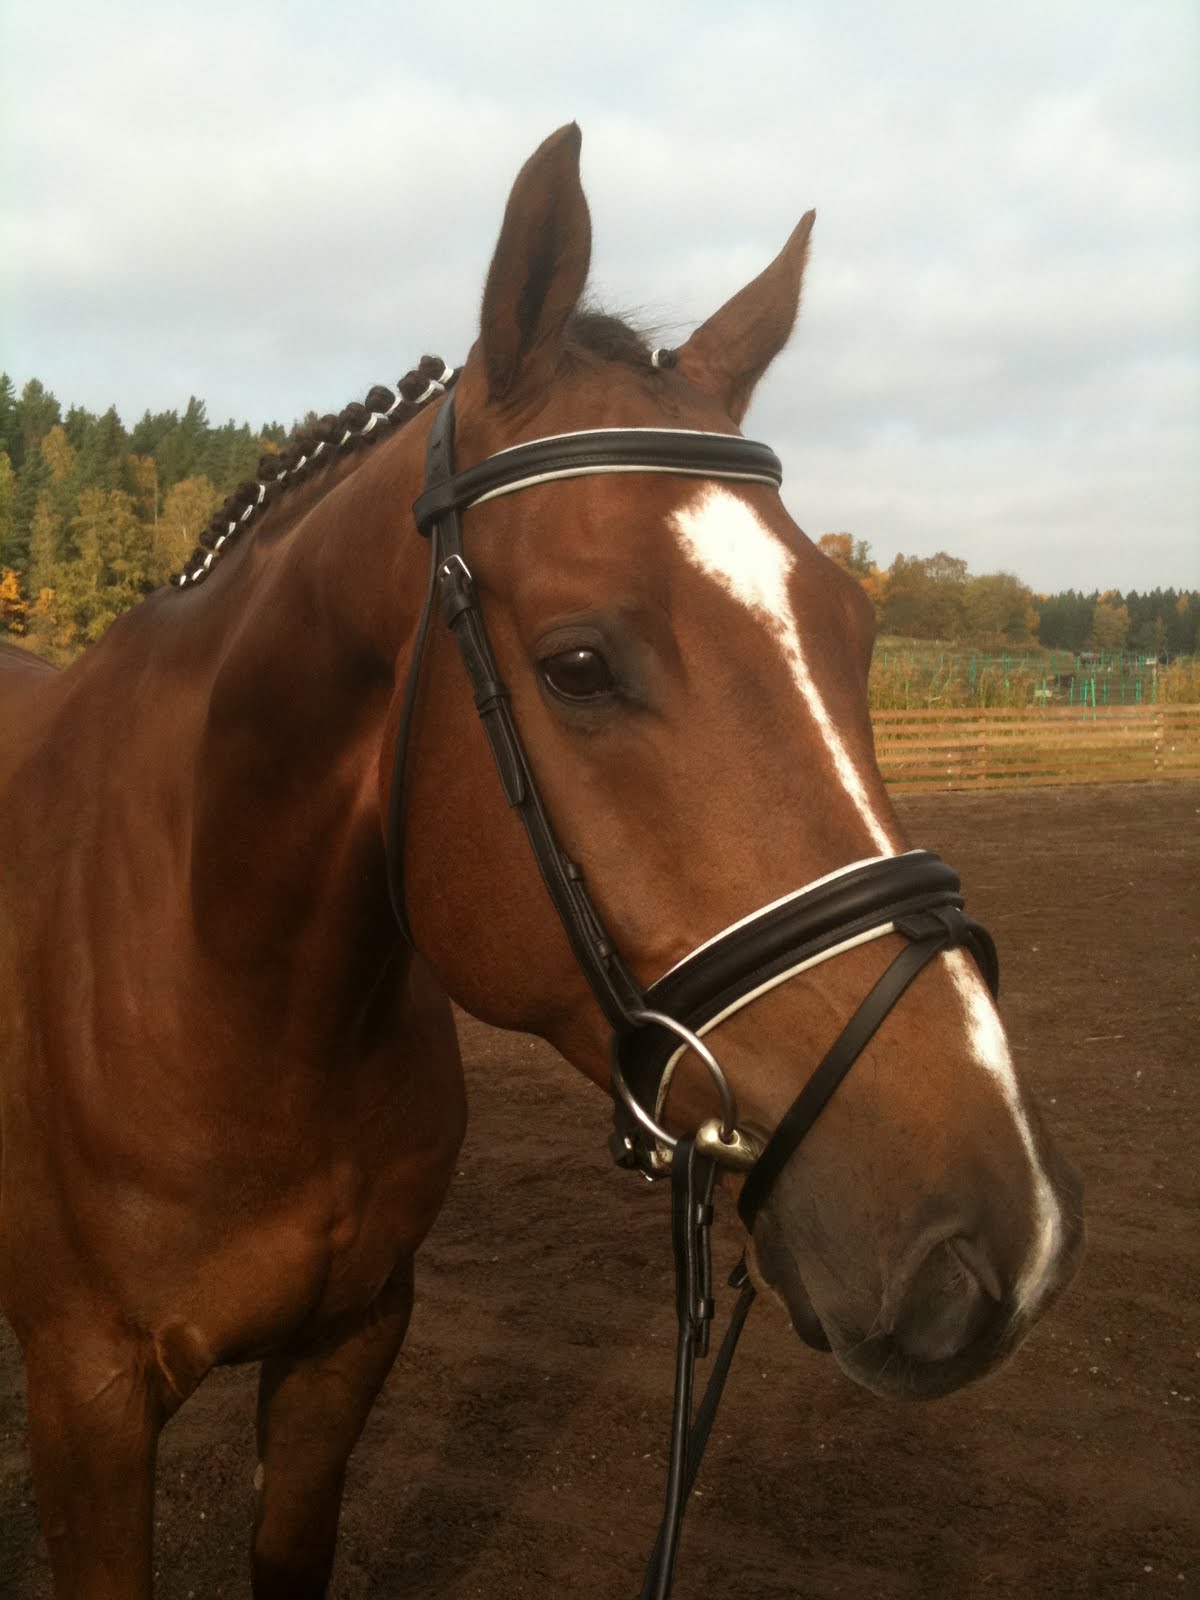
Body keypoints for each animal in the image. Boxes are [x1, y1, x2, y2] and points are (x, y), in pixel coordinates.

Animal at [0, 124, 1083, 1599]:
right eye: (578, 665)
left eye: (855, 633)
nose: (998, 1238)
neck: (216, 977)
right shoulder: (89, 1400)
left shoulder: (347, 1346)